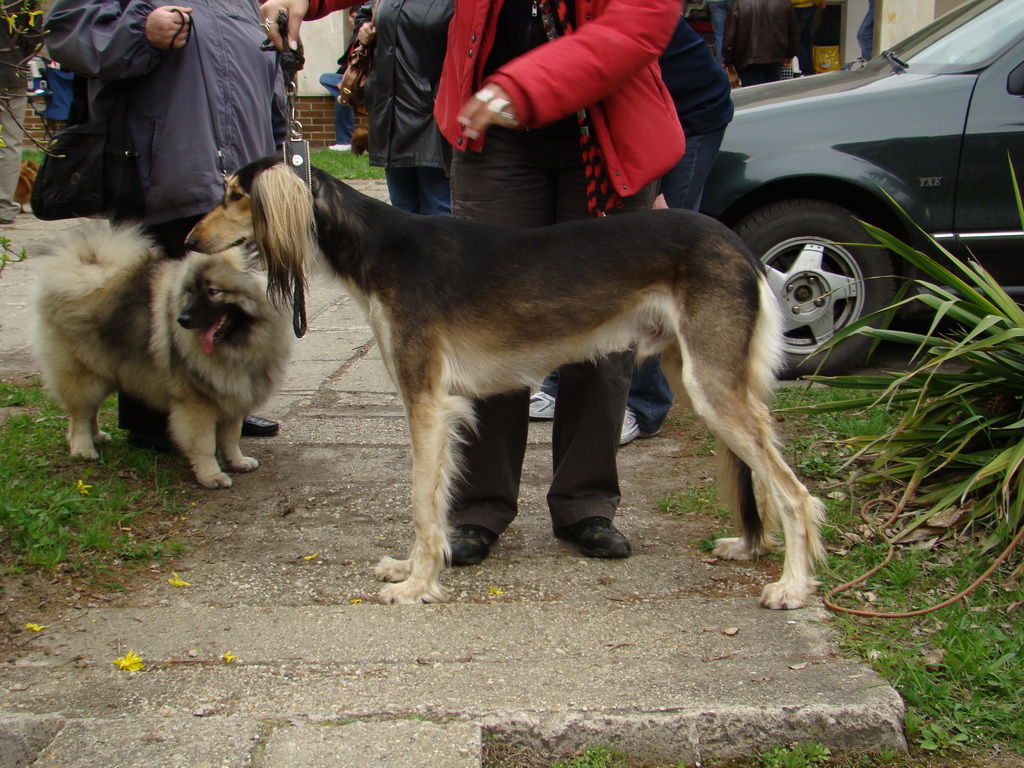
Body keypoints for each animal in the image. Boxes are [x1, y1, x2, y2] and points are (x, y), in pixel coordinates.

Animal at [30, 221, 292, 487]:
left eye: (213, 291)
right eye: (191, 291)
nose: (183, 320)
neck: (239, 343)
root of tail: (81, 270)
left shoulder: (233, 394)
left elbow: (231, 436)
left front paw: (237, 462)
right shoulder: (195, 403)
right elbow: (204, 443)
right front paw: (211, 475)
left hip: (105, 371)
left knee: (90, 410)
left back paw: (97, 436)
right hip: (85, 374)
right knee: (80, 415)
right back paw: (83, 447)